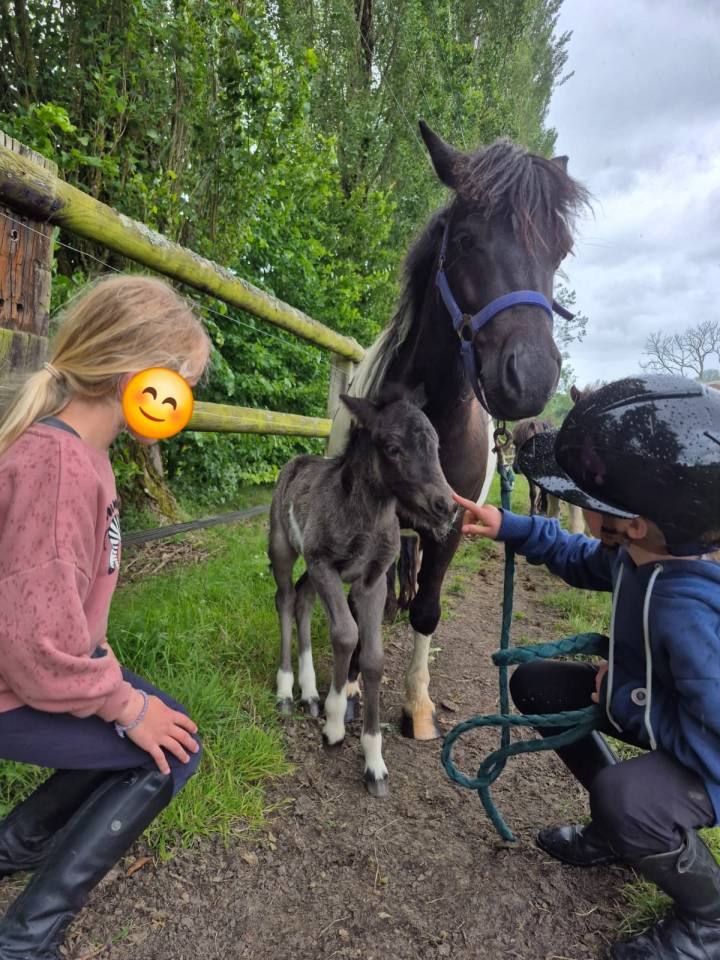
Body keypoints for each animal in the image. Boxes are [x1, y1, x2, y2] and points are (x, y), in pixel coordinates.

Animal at [269, 388, 454, 795]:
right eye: (392, 447)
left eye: (436, 445)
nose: (446, 506)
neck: (366, 518)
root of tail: (297, 461)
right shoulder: (325, 564)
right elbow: (345, 634)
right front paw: (335, 724)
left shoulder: (373, 580)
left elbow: (372, 656)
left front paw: (374, 761)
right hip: (284, 547)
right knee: (286, 599)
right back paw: (287, 690)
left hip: (311, 567)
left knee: (303, 599)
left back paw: (309, 692)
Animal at [327, 121, 589, 741]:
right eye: (467, 240)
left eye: (561, 250)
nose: (530, 377)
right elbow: (360, 597)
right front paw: (351, 685)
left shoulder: (449, 523)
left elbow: (428, 607)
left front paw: (417, 704)